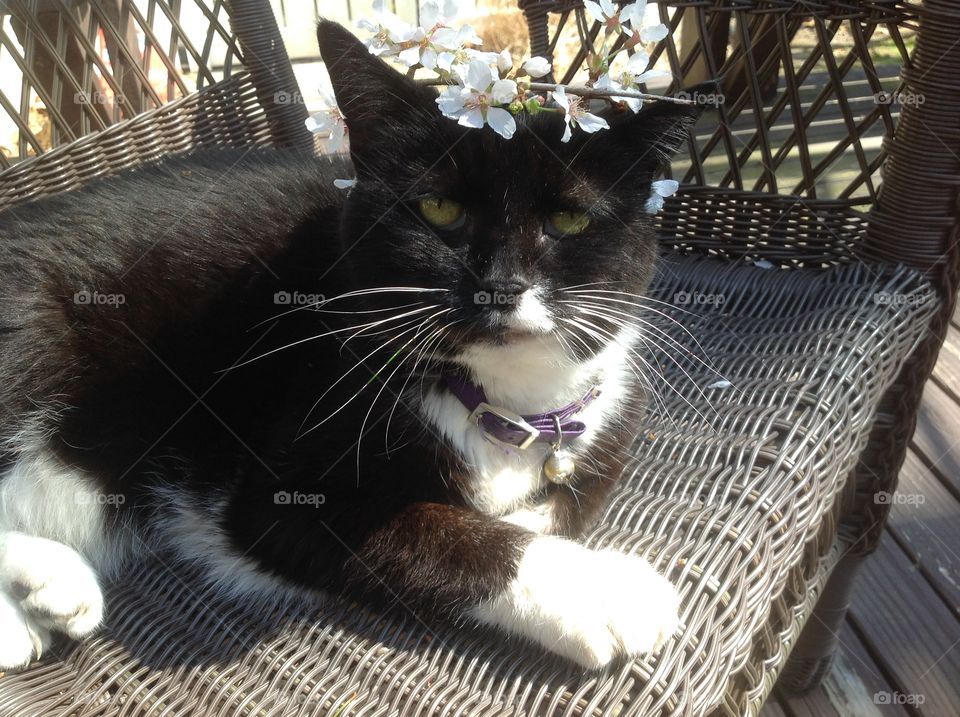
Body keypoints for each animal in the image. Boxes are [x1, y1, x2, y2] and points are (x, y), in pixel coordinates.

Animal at [0, 22, 704, 672]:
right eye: (439, 207)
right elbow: (440, 530)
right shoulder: (274, 497)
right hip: (29, 331)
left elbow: (565, 502)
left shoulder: (611, 423)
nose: (500, 285)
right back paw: (44, 590)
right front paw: (597, 587)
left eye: (570, 218)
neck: (504, 405)